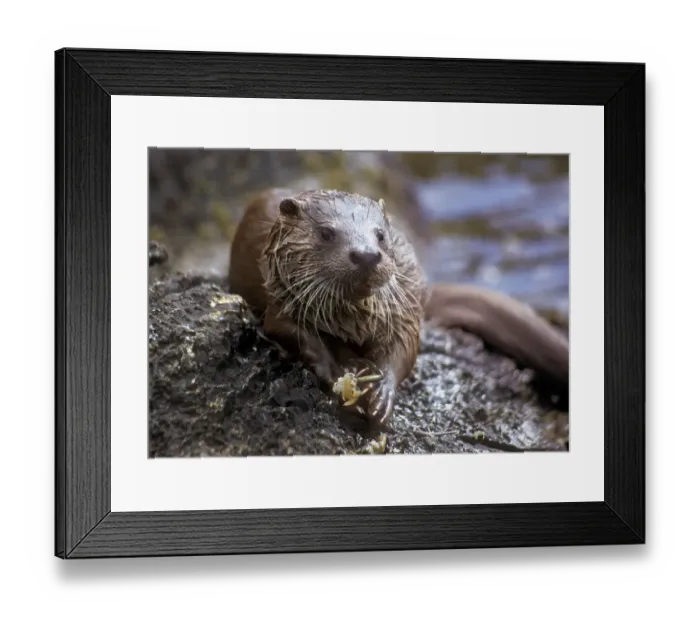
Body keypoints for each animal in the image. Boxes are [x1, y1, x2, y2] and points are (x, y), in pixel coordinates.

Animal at [228, 188, 569, 426]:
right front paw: (335, 371)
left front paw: (382, 392)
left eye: (380, 235)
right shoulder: (281, 303)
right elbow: (295, 334)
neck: (350, 320)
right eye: (326, 233)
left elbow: (405, 350)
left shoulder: (403, 313)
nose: (366, 254)